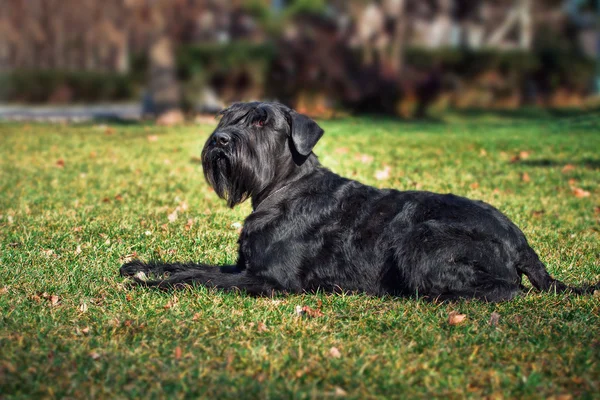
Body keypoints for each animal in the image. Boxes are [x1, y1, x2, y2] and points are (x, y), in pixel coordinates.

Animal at [119, 101, 596, 302]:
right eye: (228, 117)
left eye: (261, 122)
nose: (219, 140)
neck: (282, 188)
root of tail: (520, 241)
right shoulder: (247, 266)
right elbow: (193, 265)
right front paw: (141, 266)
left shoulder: (270, 280)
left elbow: (199, 278)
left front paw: (153, 284)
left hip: (421, 241)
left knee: (506, 290)